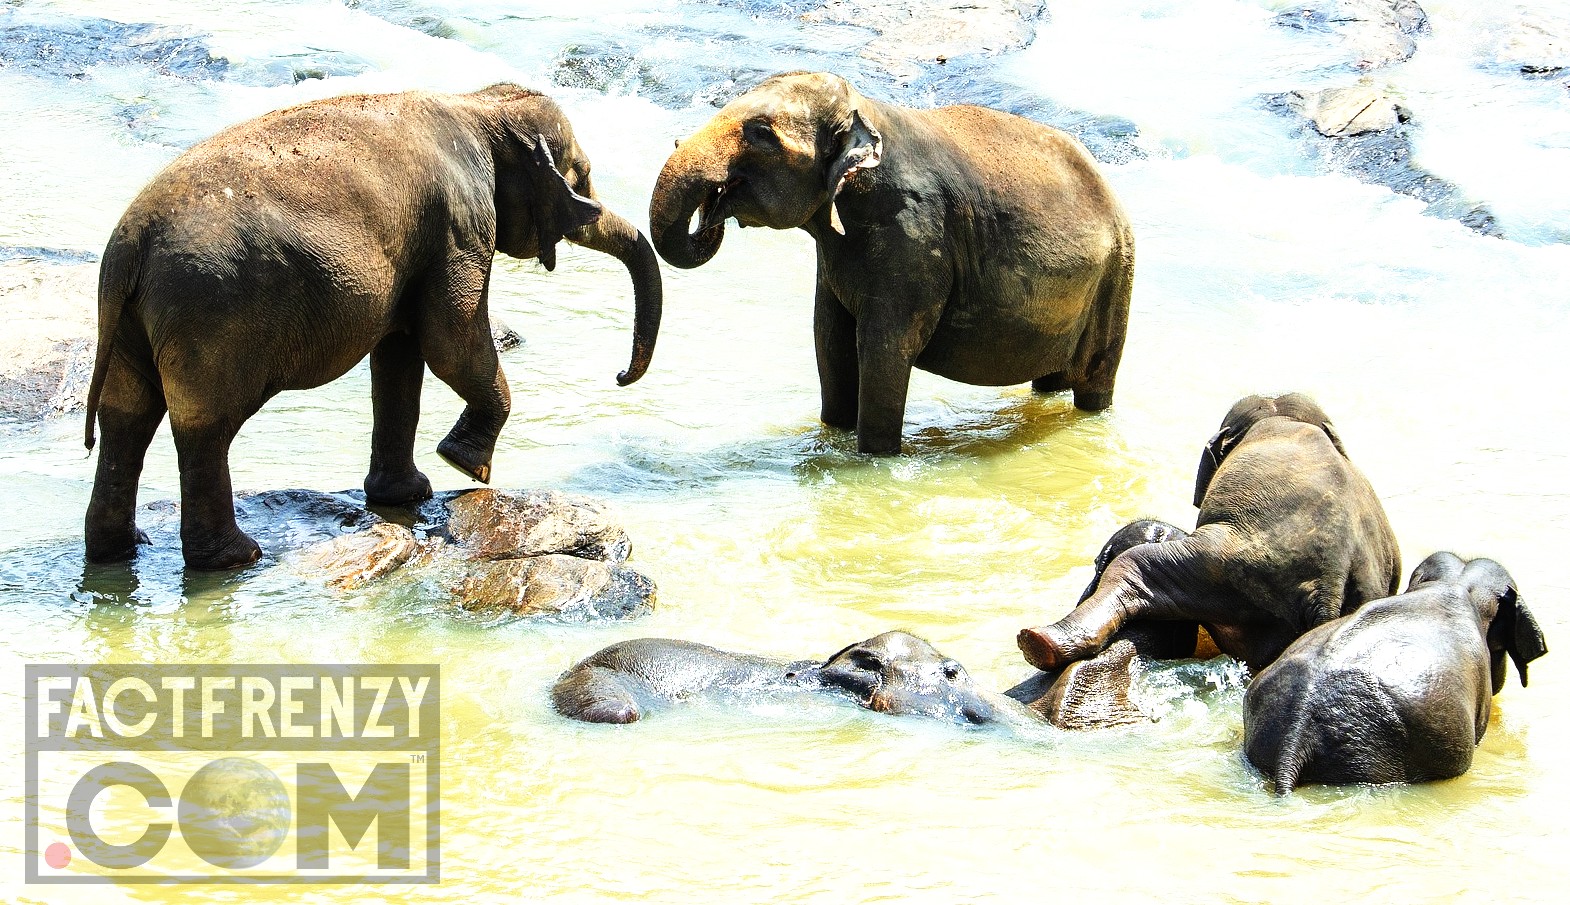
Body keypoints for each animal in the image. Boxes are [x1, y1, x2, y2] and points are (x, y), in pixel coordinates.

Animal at [82, 84, 661, 570]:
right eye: (581, 176)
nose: (618, 376)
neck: (478, 104)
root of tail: (129, 246)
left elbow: (401, 356)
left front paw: (409, 494)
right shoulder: (460, 225)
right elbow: (450, 342)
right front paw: (465, 468)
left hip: (138, 323)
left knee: (125, 420)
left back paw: (123, 549)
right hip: (208, 318)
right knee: (204, 429)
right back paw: (236, 559)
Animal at [647, 71, 1134, 454]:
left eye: (762, 133)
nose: (713, 205)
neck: (866, 111)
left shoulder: (914, 236)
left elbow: (884, 347)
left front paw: (874, 459)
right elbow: (829, 336)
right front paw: (834, 434)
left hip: (1117, 278)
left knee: (1096, 382)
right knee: (1048, 383)